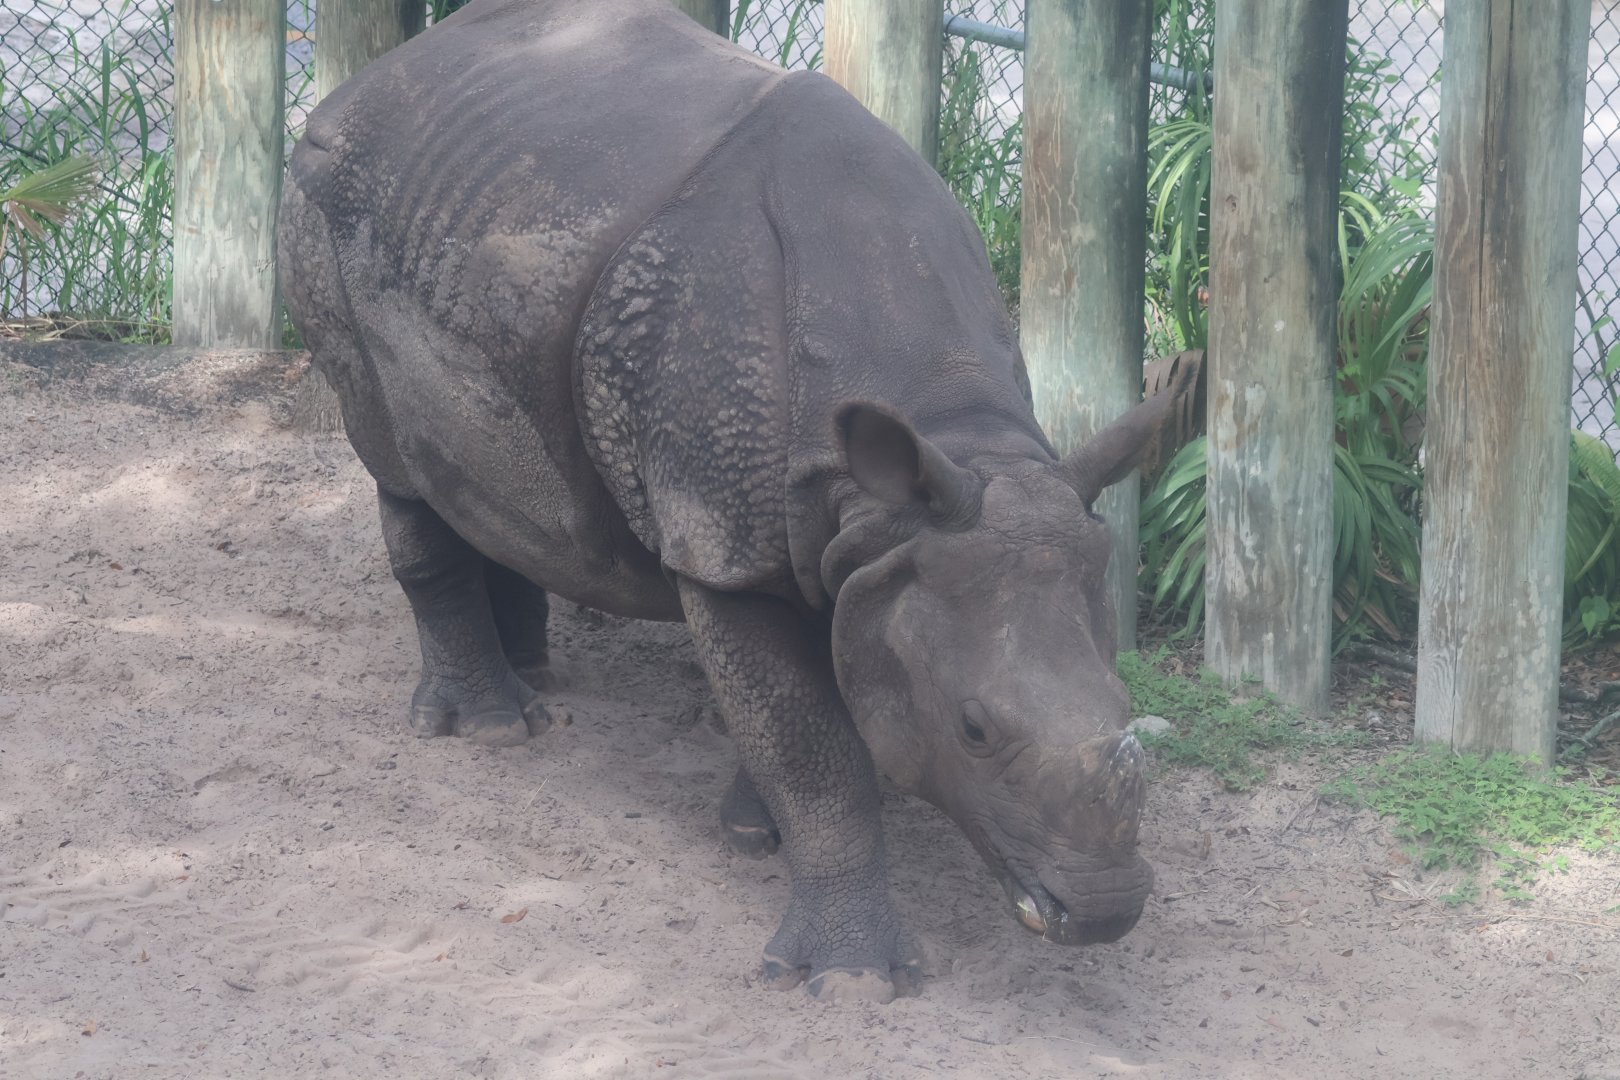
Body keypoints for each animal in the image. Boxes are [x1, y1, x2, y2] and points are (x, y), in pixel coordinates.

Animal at [279, 0, 1177, 1003]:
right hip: (322, 199)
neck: (950, 426)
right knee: (392, 458)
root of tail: (372, 79)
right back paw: (495, 730)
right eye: (974, 730)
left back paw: (535, 672)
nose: (1102, 912)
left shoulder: (857, 536)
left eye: (1126, 700)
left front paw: (755, 832)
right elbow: (812, 748)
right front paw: (851, 980)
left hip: (481, 210)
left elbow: (805, 701)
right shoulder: (724, 549)